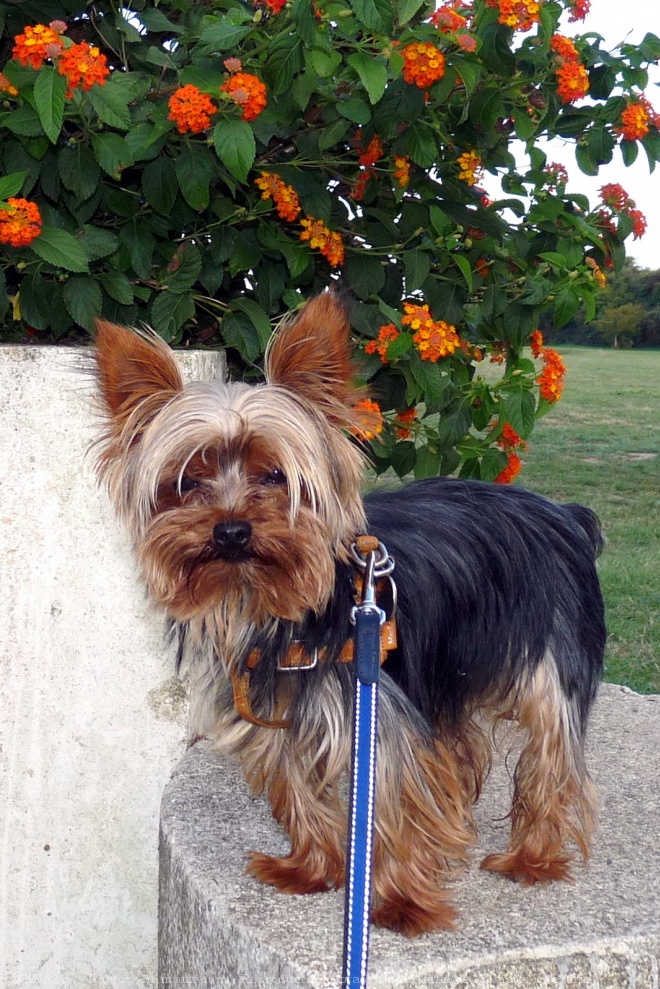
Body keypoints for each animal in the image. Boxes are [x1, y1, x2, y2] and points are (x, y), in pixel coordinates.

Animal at [95, 292, 604, 932]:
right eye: (188, 481)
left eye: (275, 475)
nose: (231, 532)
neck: (268, 602)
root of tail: (566, 513)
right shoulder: (283, 710)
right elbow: (299, 788)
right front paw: (311, 869)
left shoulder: (378, 712)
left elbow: (395, 798)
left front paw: (402, 902)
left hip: (550, 660)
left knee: (552, 755)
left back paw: (531, 858)